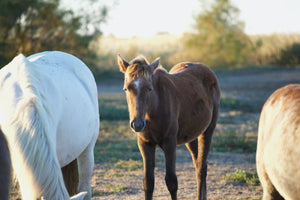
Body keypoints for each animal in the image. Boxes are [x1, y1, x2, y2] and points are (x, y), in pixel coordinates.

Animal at [118, 54, 220, 200]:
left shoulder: (170, 143)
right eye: (126, 88)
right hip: (191, 137)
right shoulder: (145, 144)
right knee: (199, 164)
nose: (137, 124)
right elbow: (148, 182)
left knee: (201, 167)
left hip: (207, 131)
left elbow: (171, 181)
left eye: (149, 88)